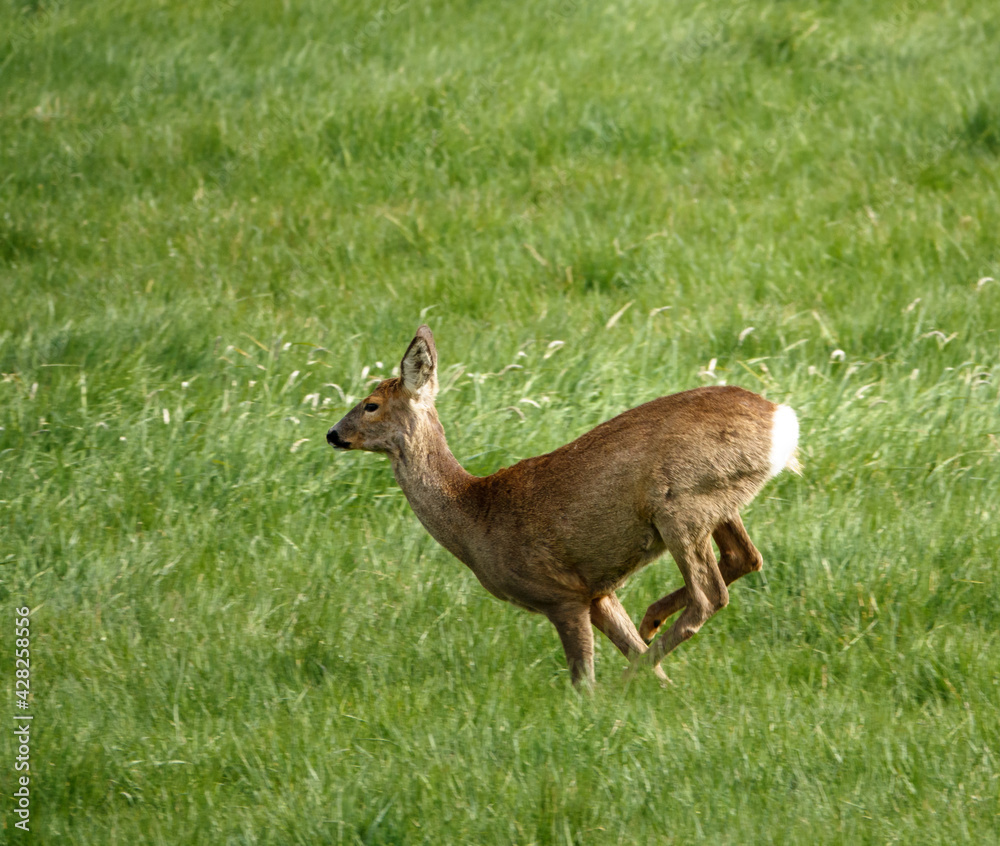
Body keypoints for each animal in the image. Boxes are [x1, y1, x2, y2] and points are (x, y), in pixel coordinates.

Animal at [326, 325, 800, 688]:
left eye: (370, 405)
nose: (333, 434)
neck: (474, 515)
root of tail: (782, 420)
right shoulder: (596, 591)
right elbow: (633, 650)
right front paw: (664, 686)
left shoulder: (559, 593)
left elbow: (582, 680)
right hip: (714, 504)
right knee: (744, 557)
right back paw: (650, 624)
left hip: (680, 505)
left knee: (711, 594)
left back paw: (625, 677)